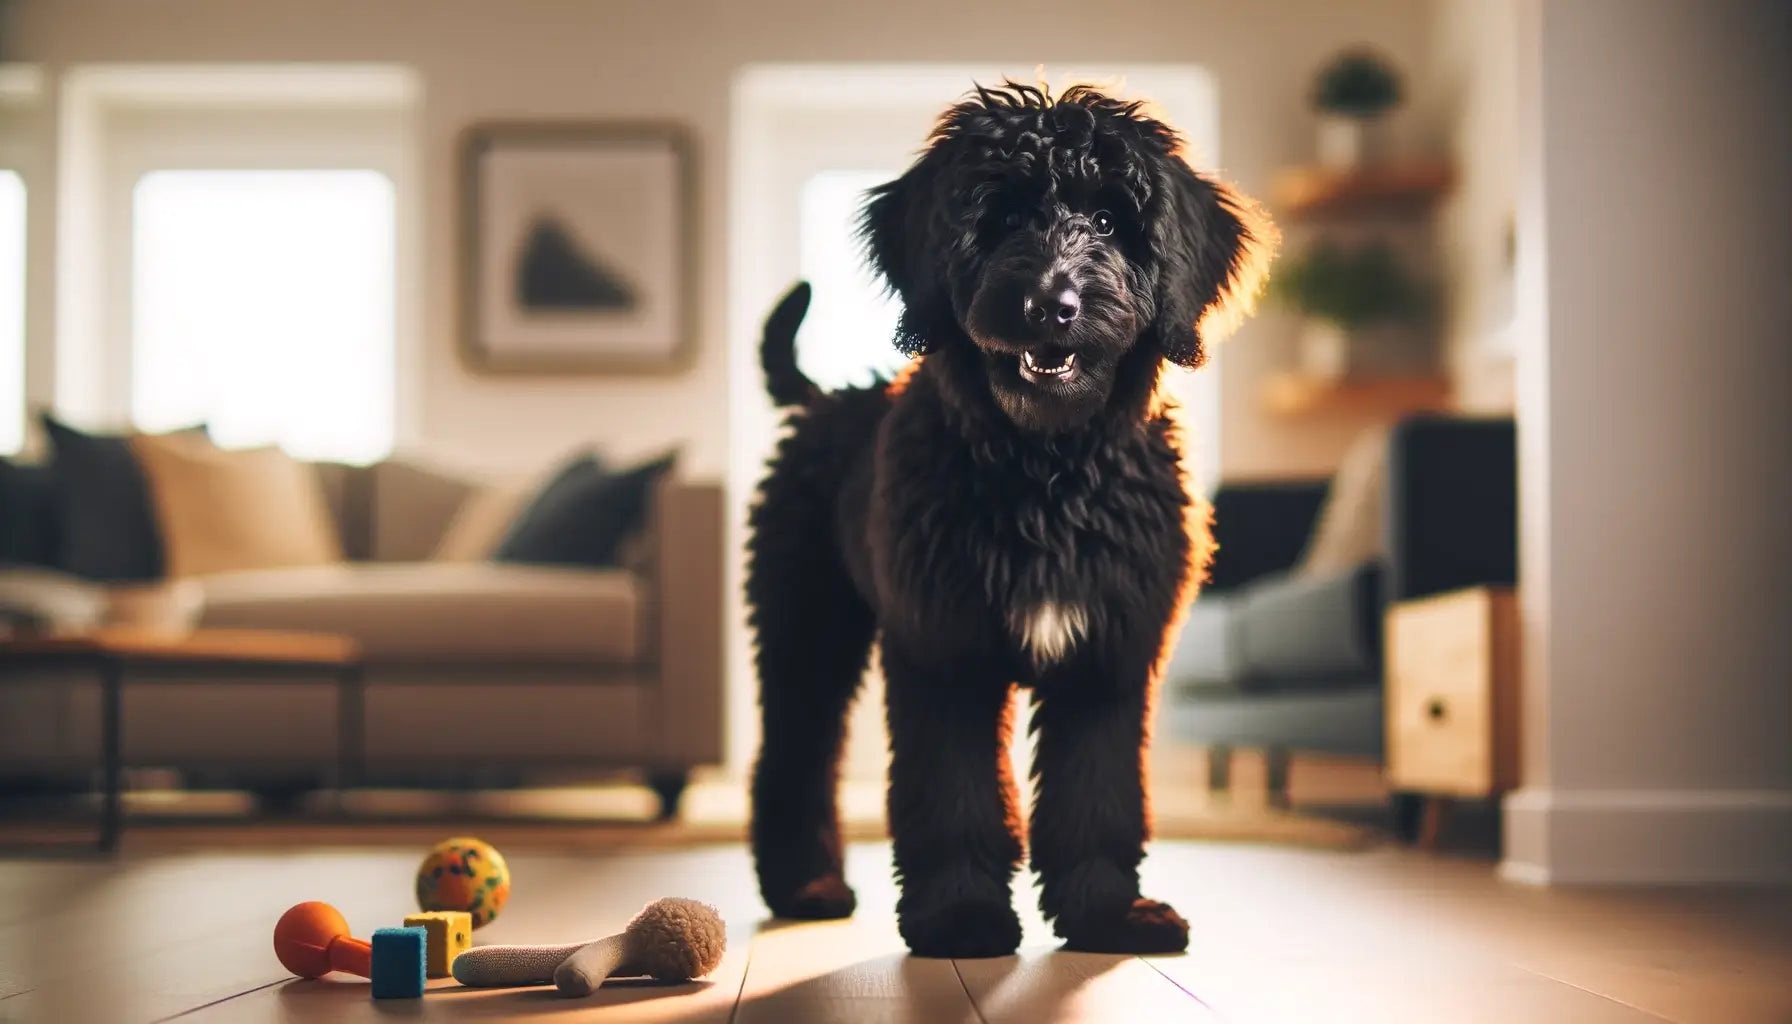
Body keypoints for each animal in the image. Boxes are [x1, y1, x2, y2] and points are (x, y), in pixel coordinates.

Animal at [741, 82, 1275, 961]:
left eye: (1109, 220)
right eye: (1004, 215)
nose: (1050, 306)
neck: (1048, 470)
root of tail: (829, 398)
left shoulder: (1107, 657)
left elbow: (1096, 794)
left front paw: (1106, 916)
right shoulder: (944, 649)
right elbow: (952, 792)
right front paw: (960, 918)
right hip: (804, 617)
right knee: (795, 753)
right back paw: (806, 887)